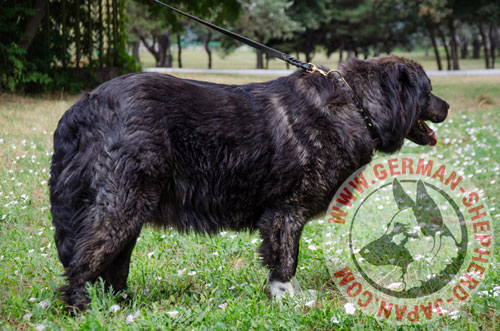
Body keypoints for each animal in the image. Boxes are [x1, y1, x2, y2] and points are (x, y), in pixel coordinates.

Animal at [49, 55, 450, 312]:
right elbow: (285, 259)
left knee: (112, 262)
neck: (356, 104)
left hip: (131, 207)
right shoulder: (286, 212)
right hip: (121, 204)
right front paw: (287, 298)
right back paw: (82, 306)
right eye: (427, 91)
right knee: (85, 259)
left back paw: (121, 304)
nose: (446, 106)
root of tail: (83, 108)